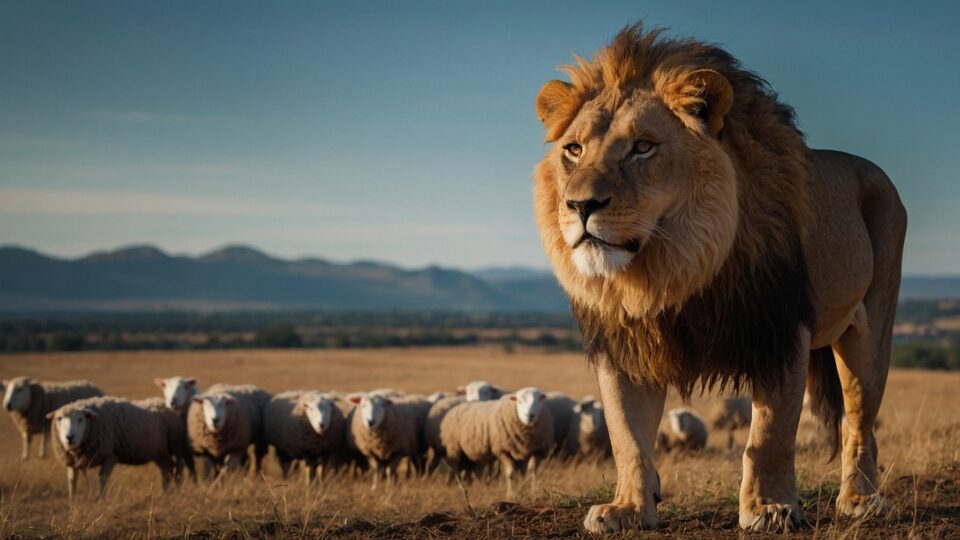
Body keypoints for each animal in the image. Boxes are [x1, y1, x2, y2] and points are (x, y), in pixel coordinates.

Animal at [48, 396, 190, 503]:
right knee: (167, 470)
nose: (69, 437)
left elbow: (103, 478)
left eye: (80, 419)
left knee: (178, 471)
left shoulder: (110, 456)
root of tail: (167, 405)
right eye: (59, 419)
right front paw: (72, 503)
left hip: (177, 445)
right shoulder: (71, 462)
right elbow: (72, 481)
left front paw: (101, 500)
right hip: (160, 453)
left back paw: (177, 492)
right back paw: (164, 494)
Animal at [532, 24, 906, 533]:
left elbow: (769, 435)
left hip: (869, 333)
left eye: (642, 147)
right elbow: (627, 436)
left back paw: (861, 500)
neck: (671, 269)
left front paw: (769, 509)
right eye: (573, 150)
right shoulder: (626, 344)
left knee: (860, 421)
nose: (580, 205)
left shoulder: (780, 331)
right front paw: (628, 509)